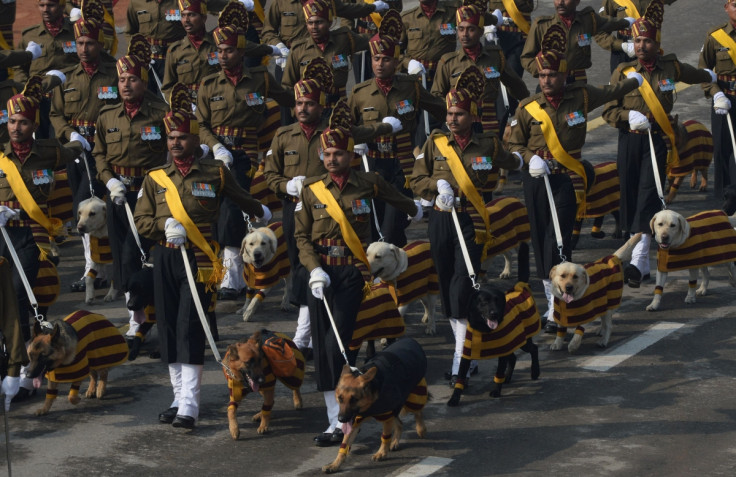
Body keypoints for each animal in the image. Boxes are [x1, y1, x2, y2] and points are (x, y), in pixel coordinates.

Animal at [324, 338, 428, 472]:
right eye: (340, 398)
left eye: (354, 399)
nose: (341, 419)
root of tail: (410, 340)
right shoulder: (355, 421)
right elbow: (344, 445)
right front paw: (335, 464)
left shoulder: (387, 416)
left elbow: (385, 437)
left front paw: (381, 453)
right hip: (395, 408)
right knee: (400, 423)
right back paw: (395, 442)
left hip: (413, 397)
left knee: (418, 412)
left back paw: (421, 429)